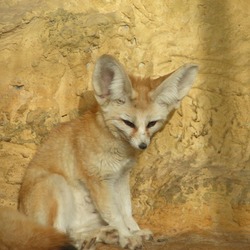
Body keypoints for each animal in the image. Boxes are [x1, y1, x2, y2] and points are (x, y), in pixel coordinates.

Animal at [17, 53, 199, 249]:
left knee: (72, 231)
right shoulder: (99, 180)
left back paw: (100, 235)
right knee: (56, 234)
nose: (143, 145)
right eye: (128, 123)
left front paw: (134, 231)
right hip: (56, 183)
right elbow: (115, 214)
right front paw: (127, 237)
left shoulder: (120, 177)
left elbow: (126, 211)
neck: (118, 149)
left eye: (152, 123)